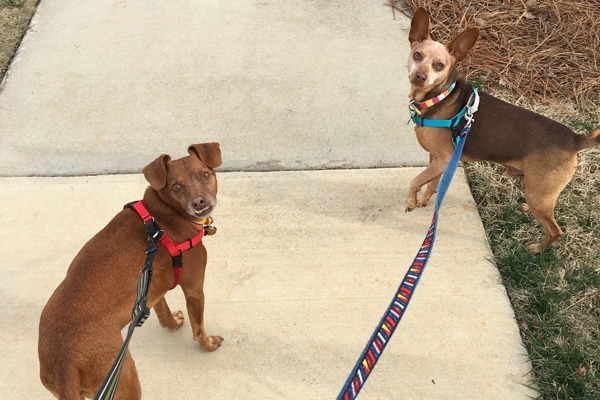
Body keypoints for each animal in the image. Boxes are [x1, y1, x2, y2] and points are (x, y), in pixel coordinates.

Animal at [38, 142, 224, 398]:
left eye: (205, 174)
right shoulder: (195, 290)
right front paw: (209, 345)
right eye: (176, 186)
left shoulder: (151, 288)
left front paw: (172, 323)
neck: (164, 214)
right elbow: (199, 329)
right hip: (126, 379)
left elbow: (163, 312)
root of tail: (64, 364)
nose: (199, 202)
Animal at [406, 7, 596, 253]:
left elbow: (415, 181)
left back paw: (536, 249)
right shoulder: (438, 161)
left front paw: (411, 202)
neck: (439, 96)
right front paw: (424, 201)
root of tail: (576, 139)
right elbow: (431, 184)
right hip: (539, 191)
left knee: (555, 230)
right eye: (417, 55)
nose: (420, 76)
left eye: (440, 65)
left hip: (539, 194)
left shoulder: (443, 160)